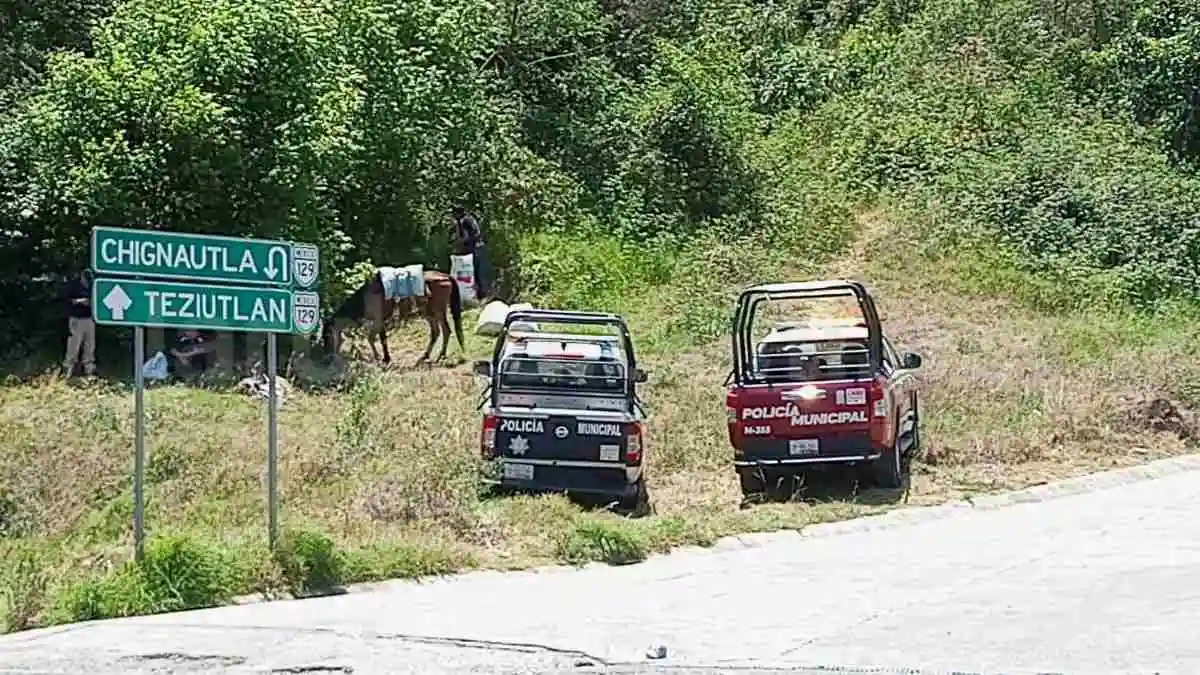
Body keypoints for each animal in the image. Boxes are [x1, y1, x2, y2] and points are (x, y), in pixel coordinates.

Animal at [324, 265, 463, 365]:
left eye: (327, 336)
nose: (326, 357)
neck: (365, 299)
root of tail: (445, 276)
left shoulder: (378, 320)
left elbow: (373, 338)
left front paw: (380, 357)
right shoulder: (380, 321)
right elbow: (381, 339)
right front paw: (385, 357)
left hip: (438, 312)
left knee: (446, 330)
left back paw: (441, 356)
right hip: (428, 313)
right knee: (436, 332)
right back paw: (425, 356)